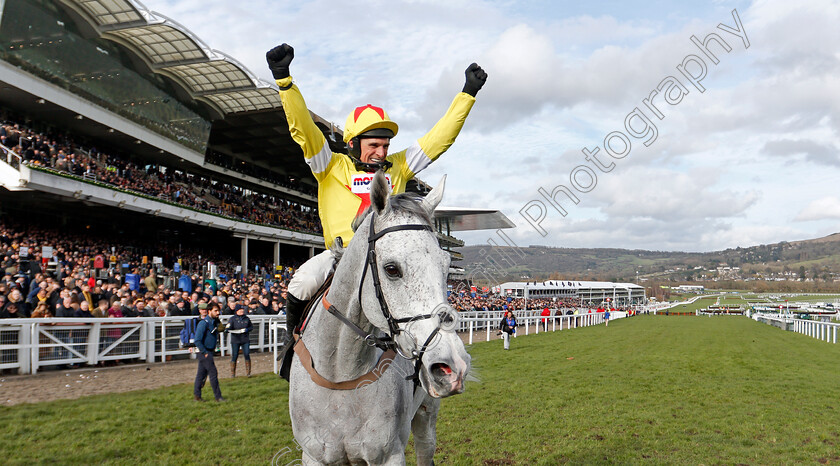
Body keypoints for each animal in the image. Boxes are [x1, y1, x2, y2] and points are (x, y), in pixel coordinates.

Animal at [288, 172, 470, 466]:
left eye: (445, 266)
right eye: (392, 269)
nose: (452, 366)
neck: (341, 375)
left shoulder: (388, 455)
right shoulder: (314, 455)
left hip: (427, 415)